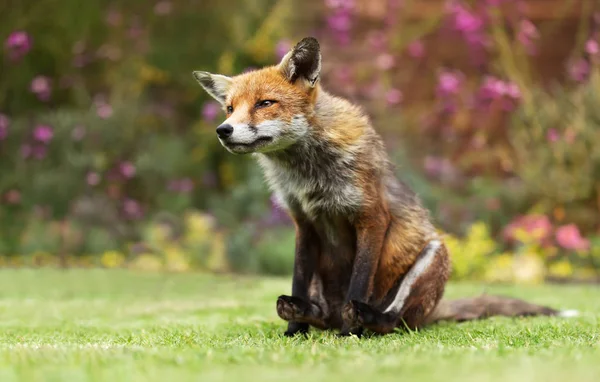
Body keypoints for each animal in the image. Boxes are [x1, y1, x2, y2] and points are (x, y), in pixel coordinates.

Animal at [193, 36, 576, 338]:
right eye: (230, 108)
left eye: (264, 103)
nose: (223, 130)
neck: (308, 173)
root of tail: (431, 313)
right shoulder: (304, 223)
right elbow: (297, 279)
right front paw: (293, 333)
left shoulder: (372, 217)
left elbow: (359, 282)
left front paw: (351, 334)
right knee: (320, 312)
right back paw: (303, 312)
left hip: (434, 255)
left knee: (392, 321)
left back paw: (365, 320)